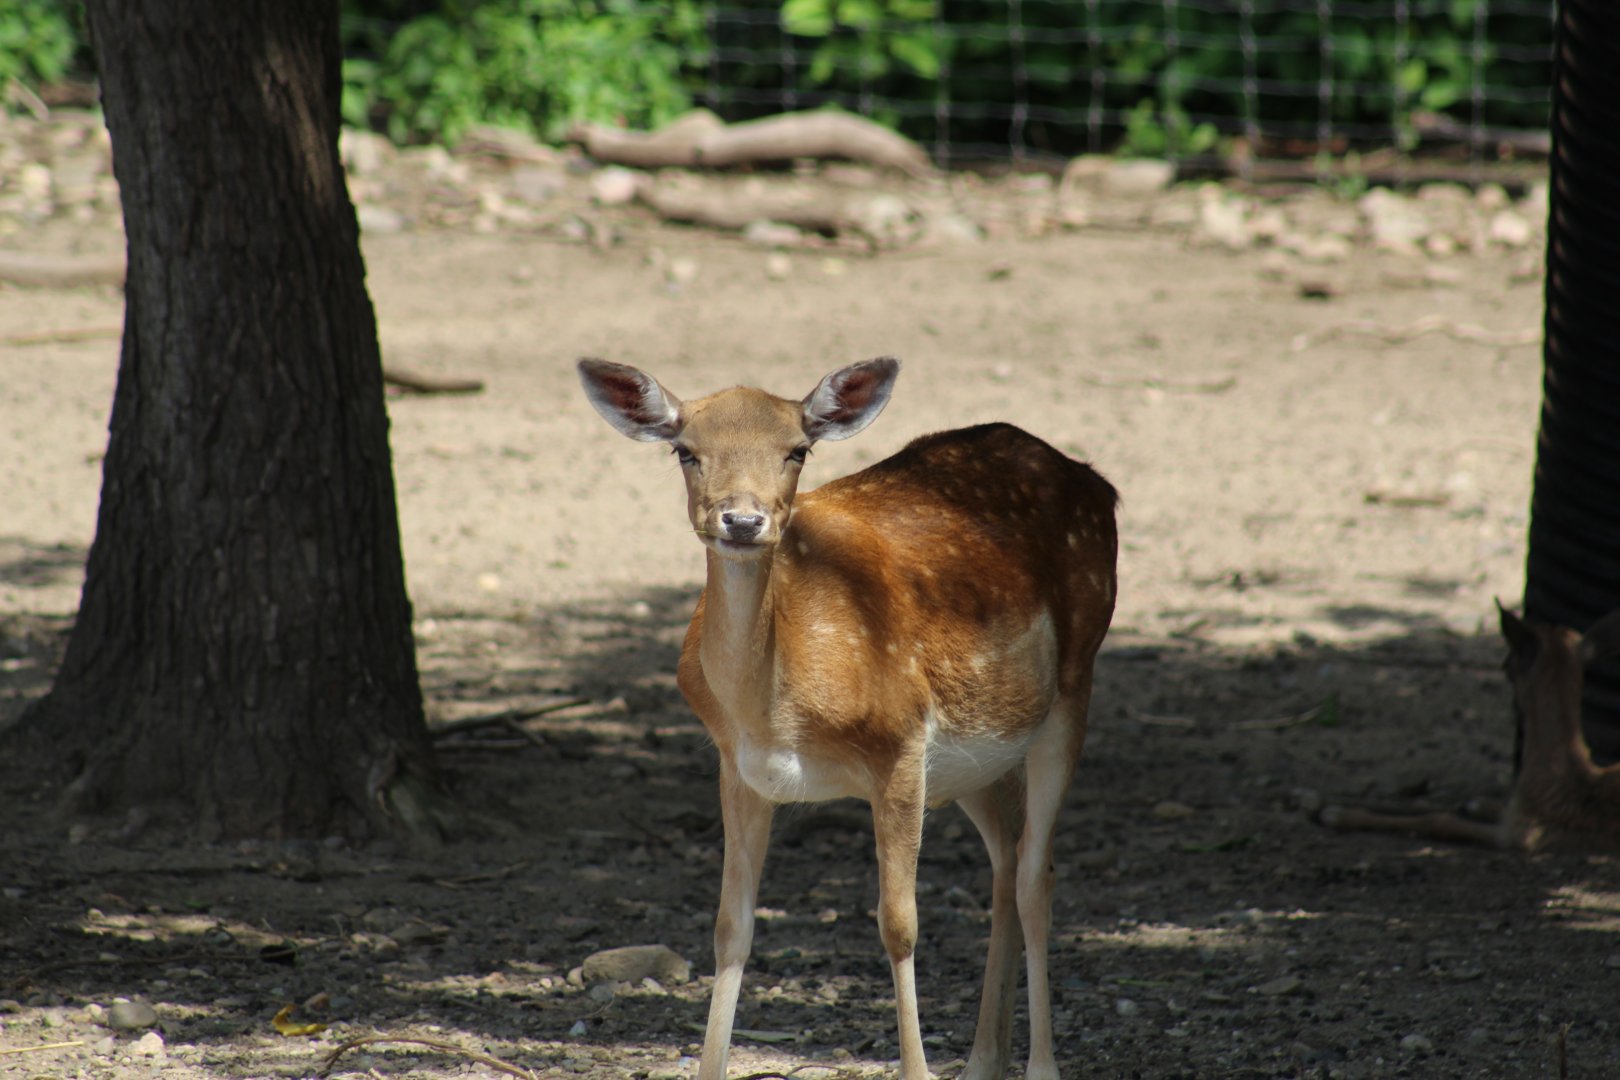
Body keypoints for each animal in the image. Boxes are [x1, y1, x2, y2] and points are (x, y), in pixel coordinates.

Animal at [577, 356, 1118, 1080]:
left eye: (796, 450)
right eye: (686, 451)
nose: (741, 520)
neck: (774, 713)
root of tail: (1096, 482)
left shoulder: (900, 741)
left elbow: (898, 923)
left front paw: (917, 1069)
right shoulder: (740, 768)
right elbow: (730, 926)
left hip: (1073, 682)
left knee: (1037, 875)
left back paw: (1039, 1066)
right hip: (977, 754)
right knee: (1007, 863)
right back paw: (982, 1059)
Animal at [1318, 603, 1620, 852]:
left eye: (1506, 664)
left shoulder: (1513, 835)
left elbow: (1437, 819)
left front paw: (1336, 814)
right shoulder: (1512, 815)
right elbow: (1487, 805)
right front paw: (1474, 803)